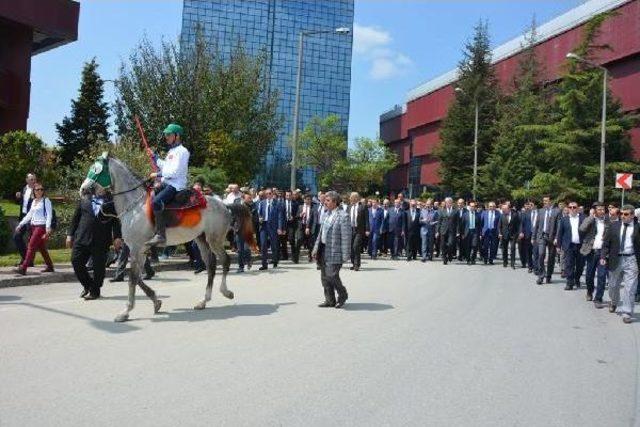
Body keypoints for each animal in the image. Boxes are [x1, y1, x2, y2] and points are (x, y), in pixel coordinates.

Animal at [81, 152, 256, 322]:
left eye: (96, 170)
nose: (83, 189)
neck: (135, 207)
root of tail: (225, 205)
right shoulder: (140, 249)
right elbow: (137, 277)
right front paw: (156, 301)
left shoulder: (136, 248)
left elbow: (132, 278)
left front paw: (125, 312)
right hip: (201, 239)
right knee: (211, 265)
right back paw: (203, 301)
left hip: (215, 239)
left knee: (225, 260)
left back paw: (226, 292)